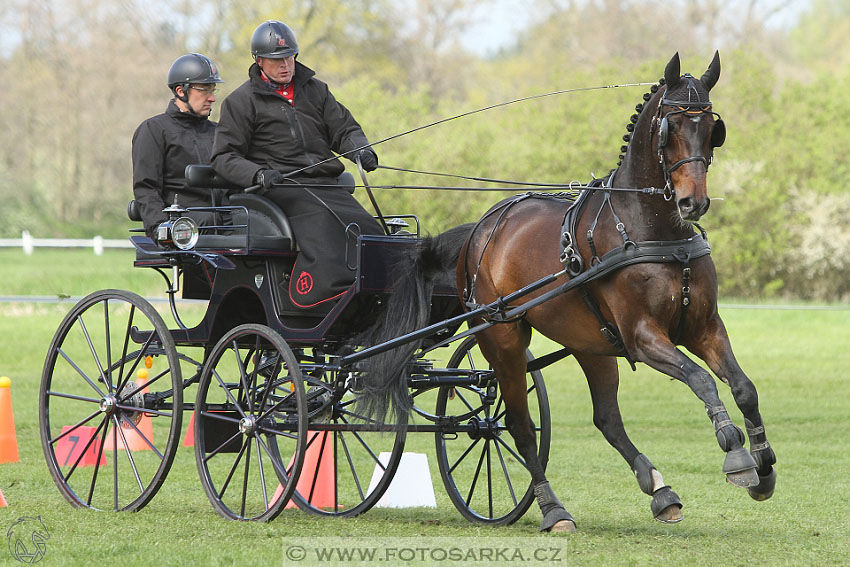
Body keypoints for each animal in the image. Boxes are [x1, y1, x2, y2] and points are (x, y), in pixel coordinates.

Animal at [356, 52, 776, 532]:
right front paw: (736, 452)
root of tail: (479, 230)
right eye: (669, 127)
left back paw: (659, 490)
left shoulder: (703, 327)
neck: (652, 231)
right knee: (518, 425)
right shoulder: (643, 336)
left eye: (711, 127)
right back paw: (553, 509)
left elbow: (743, 387)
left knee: (606, 419)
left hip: (590, 342)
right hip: (501, 336)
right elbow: (701, 379)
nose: (694, 203)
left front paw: (764, 466)